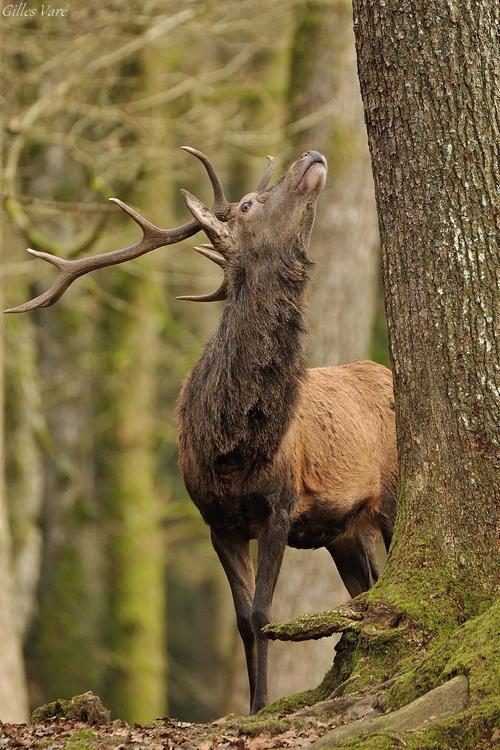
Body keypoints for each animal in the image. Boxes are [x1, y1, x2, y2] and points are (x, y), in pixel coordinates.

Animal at [6, 147, 397, 714]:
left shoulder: (281, 504)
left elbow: (264, 614)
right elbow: (243, 620)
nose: (312, 154)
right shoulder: (217, 521)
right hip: (345, 528)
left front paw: (261, 705)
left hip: (389, 495)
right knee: (366, 590)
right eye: (251, 203)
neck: (231, 446)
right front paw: (254, 705)